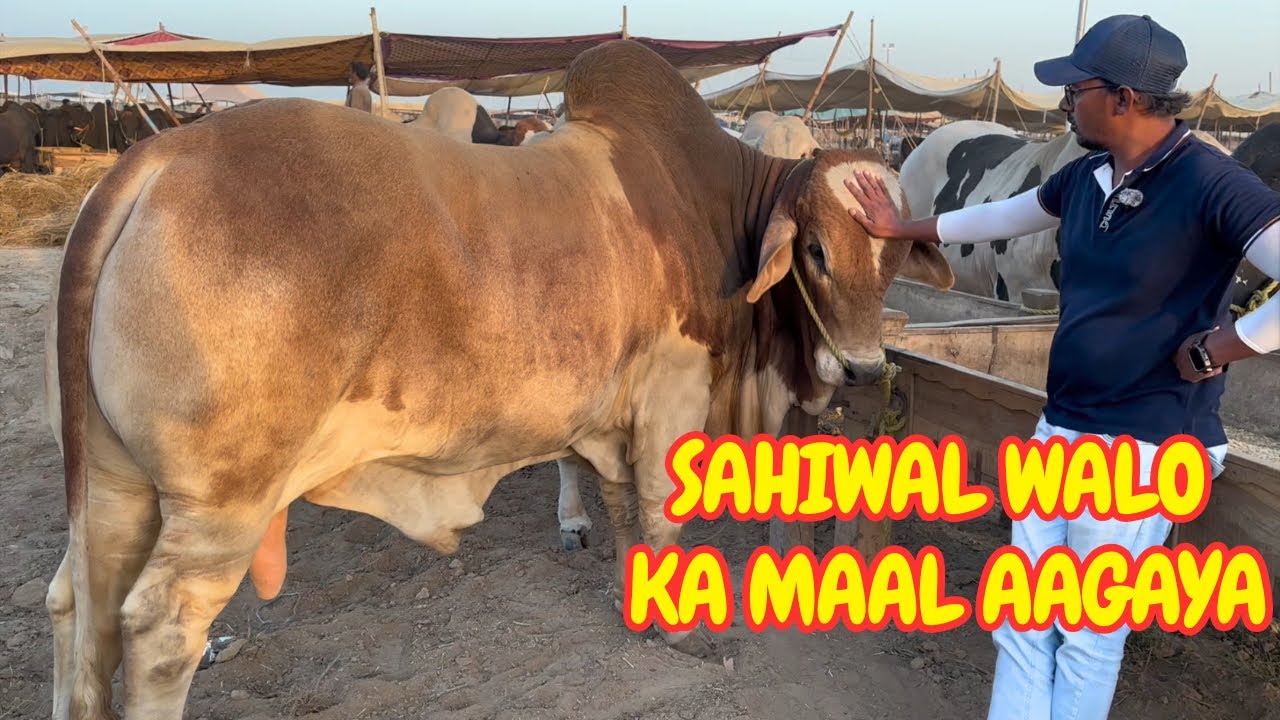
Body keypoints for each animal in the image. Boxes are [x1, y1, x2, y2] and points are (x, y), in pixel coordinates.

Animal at [43, 39, 952, 718]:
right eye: (817, 251)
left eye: (894, 258)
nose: (864, 366)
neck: (719, 211)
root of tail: (156, 160)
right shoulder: (671, 401)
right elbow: (661, 513)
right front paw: (678, 629)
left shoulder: (606, 419)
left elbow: (618, 508)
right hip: (222, 501)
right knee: (160, 634)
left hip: (116, 486)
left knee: (76, 608)